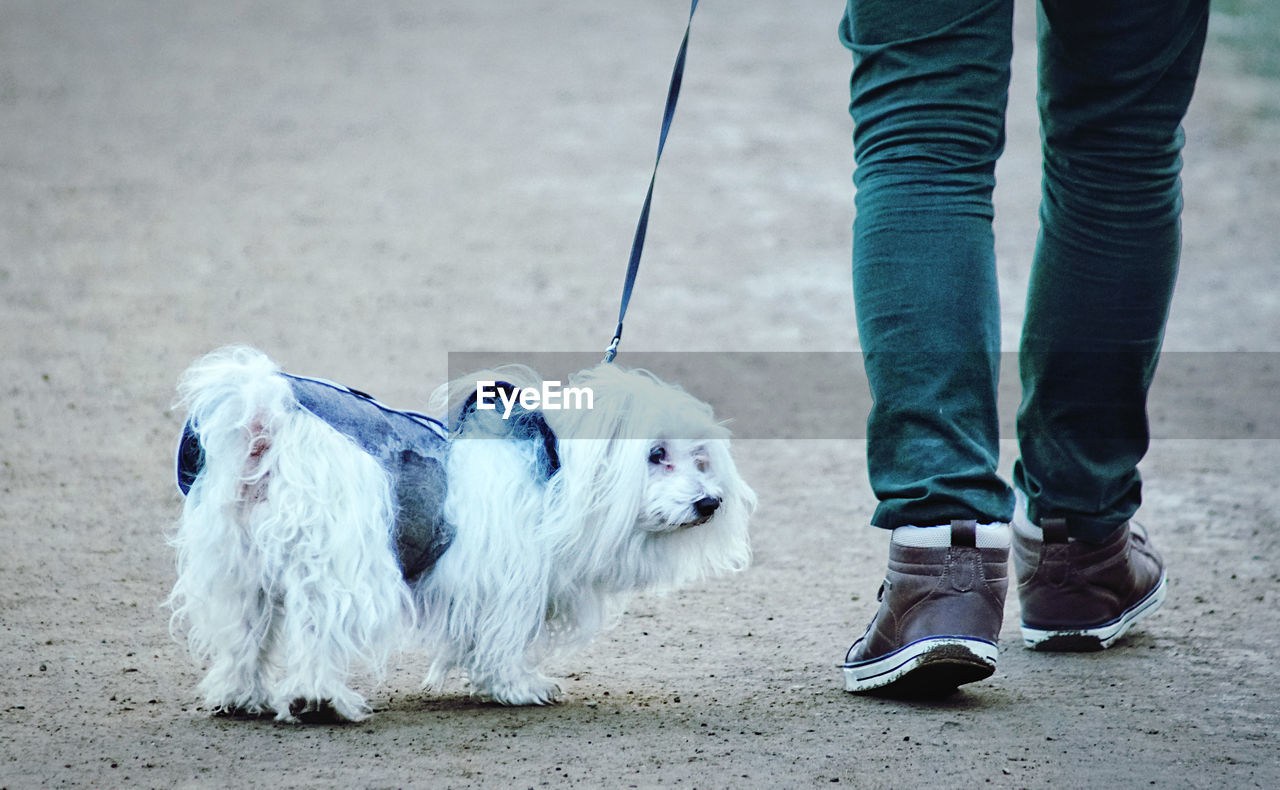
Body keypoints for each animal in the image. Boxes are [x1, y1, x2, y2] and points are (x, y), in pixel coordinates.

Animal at [165, 345, 752, 722]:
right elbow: (504, 638)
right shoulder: (510, 579)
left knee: (243, 634)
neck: (557, 468)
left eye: (700, 459)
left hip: (239, 564)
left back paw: (241, 698)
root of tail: (270, 417)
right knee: (320, 631)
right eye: (656, 454)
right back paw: (321, 701)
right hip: (341, 562)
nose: (710, 502)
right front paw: (516, 686)